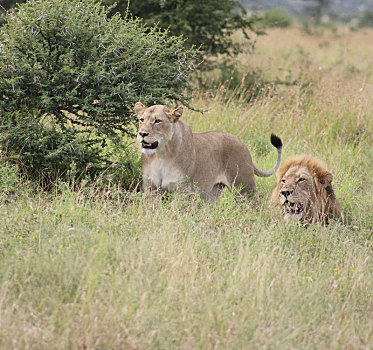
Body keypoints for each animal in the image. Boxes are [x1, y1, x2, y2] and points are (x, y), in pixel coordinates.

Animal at [134, 101, 282, 201]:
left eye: (157, 121)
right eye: (141, 120)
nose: (142, 133)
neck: (161, 155)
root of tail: (242, 143)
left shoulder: (182, 190)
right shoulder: (150, 187)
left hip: (244, 188)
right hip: (211, 193)